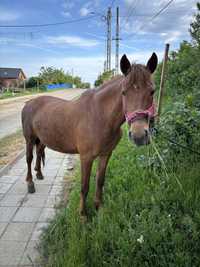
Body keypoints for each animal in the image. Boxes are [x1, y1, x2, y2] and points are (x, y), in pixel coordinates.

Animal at [21, 53, 157, 217]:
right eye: (124, 92)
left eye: (152, 91)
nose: (139, 135)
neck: (100, 116)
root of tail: (29, 102)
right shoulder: (86, 157)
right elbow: (84, 186)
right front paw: (83, 215)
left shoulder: (106, 154)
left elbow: (100, 180)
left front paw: (99, 207)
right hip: (29, 139)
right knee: (29, 158)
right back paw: (30, 184)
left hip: (42, 139)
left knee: (39, 151)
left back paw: (39, 174)